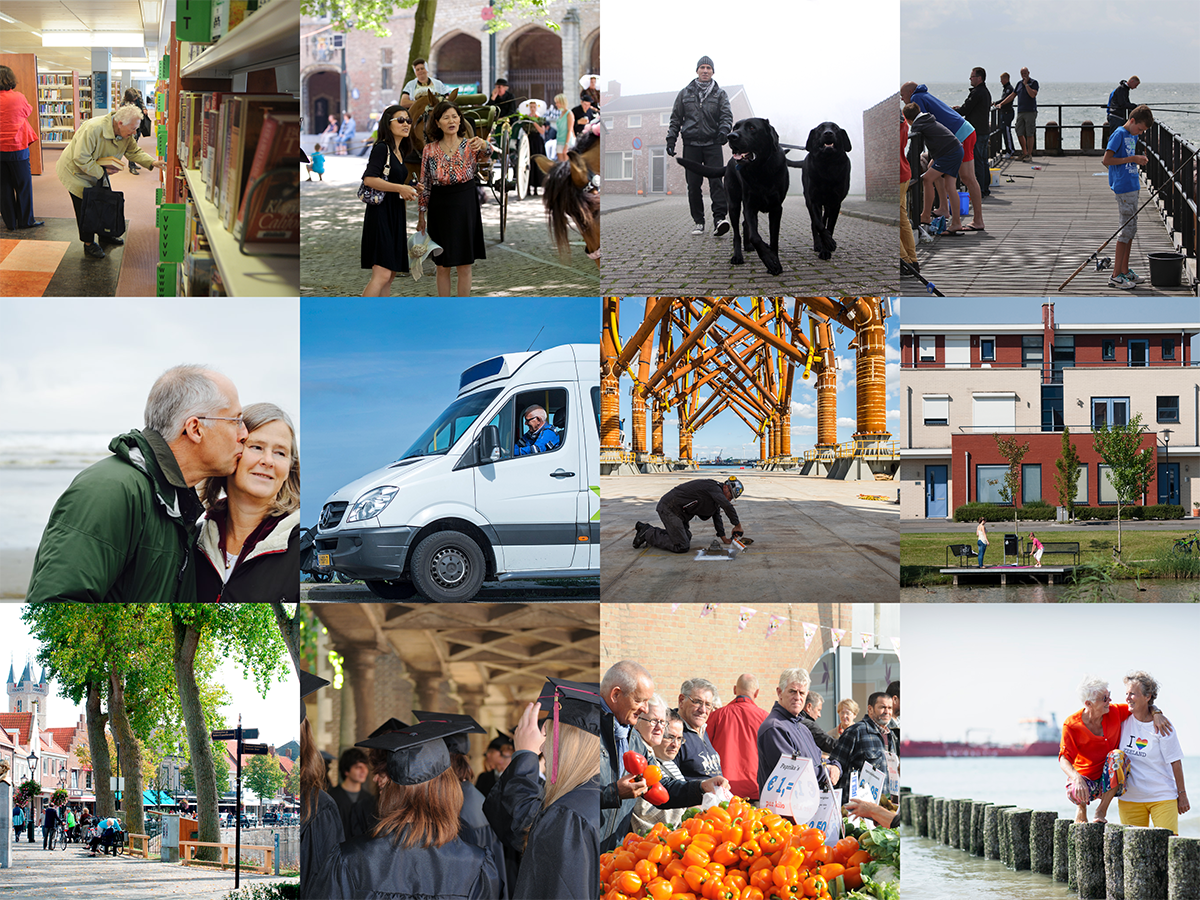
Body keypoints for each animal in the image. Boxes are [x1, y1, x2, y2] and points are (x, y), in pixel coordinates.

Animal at [676, 118, 787, 277]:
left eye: (752, 128)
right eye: (735, 127)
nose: (731, 136)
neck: (761, 169)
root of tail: (728, 163)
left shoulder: (776, 208)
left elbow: (774, 239)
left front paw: (774, 260)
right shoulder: (749, 206)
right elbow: (755, 236)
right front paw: (769, 261)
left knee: (745, 225)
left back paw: (748, 247)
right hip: (734, 205)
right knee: (737, 233)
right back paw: (738, 255)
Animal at [796, 121, 854, 260]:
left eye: (836, 128)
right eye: (820, 129)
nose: (828, 133)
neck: (827, 164)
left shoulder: (835, 203)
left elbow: (830, 226)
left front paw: (827, 247)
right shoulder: (814, 201)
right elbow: (819, 224)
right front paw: (827, 245)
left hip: (827, 205)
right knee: (814, 223)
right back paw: (818, 244)